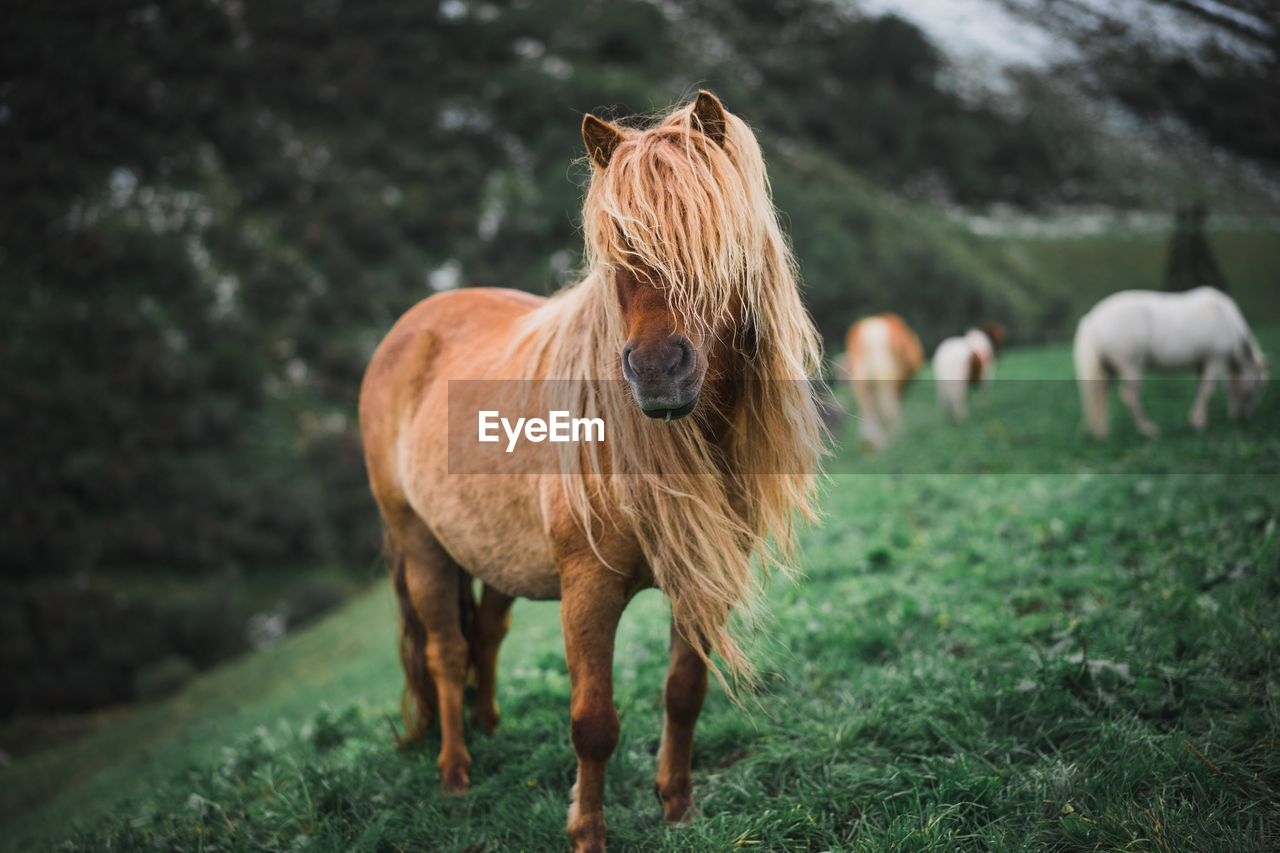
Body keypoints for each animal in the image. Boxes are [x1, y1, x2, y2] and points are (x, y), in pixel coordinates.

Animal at [358, 92, 819, 850]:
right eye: (615, 250)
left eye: (711, 240)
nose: (658, 372)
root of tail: (411, 326)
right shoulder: (588, 589)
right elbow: (593, 723)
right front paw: (588, 833)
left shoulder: (704, 574)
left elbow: (683, 691)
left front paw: (677, 804)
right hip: (423, 547)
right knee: (445, 653)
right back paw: (455, 772)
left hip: (490, 554)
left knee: (484, 636)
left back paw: (491, 729)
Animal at [1070, 285, 1269, 438]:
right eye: (1258, 385)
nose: (1244, 417)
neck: (1227, 319)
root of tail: (1093, 319)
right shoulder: (1214, 359)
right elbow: (1207, 391)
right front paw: (1199, 423)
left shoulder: (1201, 363)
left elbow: (1201, 389)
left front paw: (1195, 419)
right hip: (1130, 365)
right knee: (1129, 397)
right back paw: (1147, 430)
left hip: (1107, 369)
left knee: (1100, 395)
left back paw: (1103, 433)